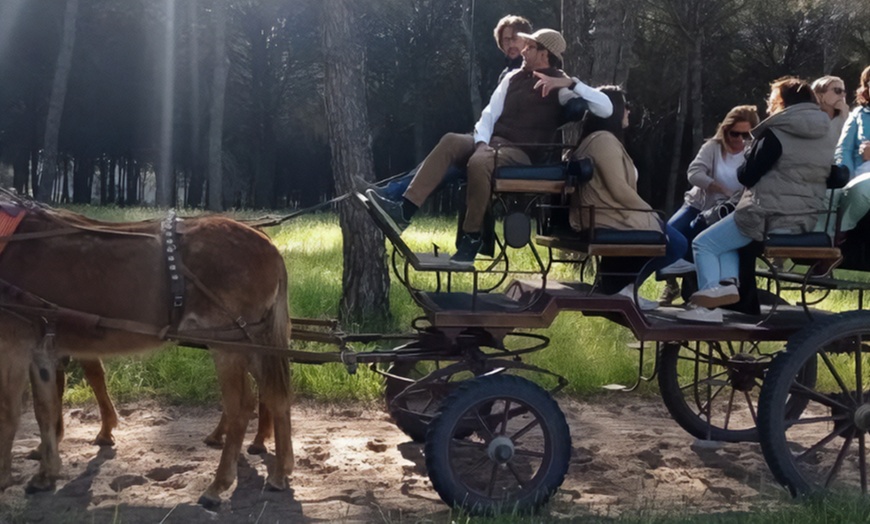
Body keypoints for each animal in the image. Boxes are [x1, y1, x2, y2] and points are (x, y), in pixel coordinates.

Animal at [0, 196, 293, 507]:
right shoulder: (39, 350)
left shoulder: (12, 344)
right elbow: (45, 410)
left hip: (230, 345)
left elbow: (8, 413)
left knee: (240, 406)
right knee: (275, 395)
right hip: (253, 341)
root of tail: (268, 244)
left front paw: (5, 477)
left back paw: (218, 484)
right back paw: (280, 471)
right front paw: (45, 473)